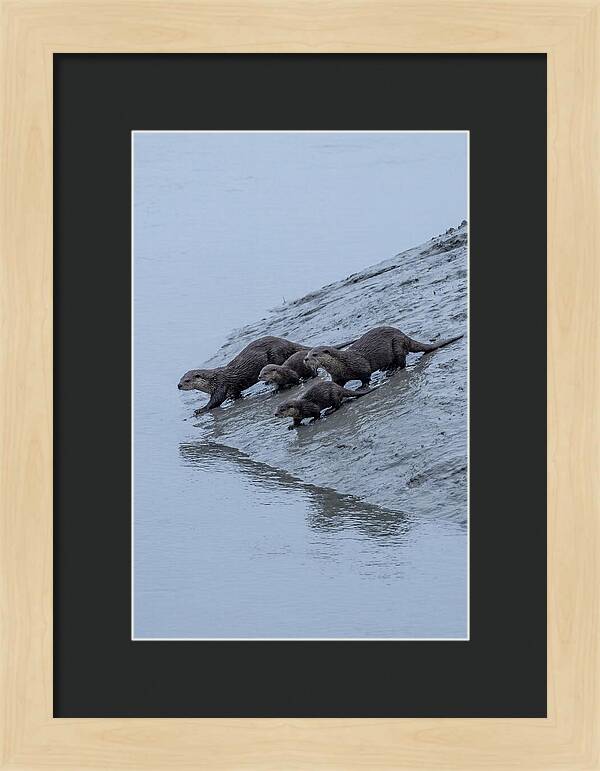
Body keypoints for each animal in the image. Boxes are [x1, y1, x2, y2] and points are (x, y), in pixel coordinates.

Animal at [304, 325, 463, 387]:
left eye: (314, 354)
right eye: (307, 353)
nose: (305, 359)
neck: (342, 364)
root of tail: (404, 336)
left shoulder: (360, 365)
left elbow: (366, 376)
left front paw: (362, 387)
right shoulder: (337, 377)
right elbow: (337, 385)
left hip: (397, 344)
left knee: (402, 362)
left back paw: (392, 370)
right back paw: (386, 368)